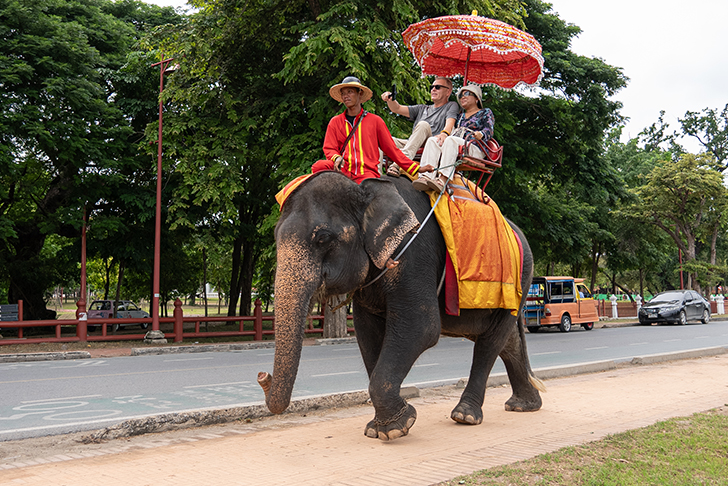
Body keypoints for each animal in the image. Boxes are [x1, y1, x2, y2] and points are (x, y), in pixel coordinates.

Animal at [258, 171, 544, 440]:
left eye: (323, 238)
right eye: (274, 236)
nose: (262, 376)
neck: (366, 189)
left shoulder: (413, 253)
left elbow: (422, 328)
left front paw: (396, 428)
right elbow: (367, 334)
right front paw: (380, 428)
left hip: (518, 280)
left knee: (490, 343)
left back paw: (465, 415)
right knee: (507, 341)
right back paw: (524, 406)